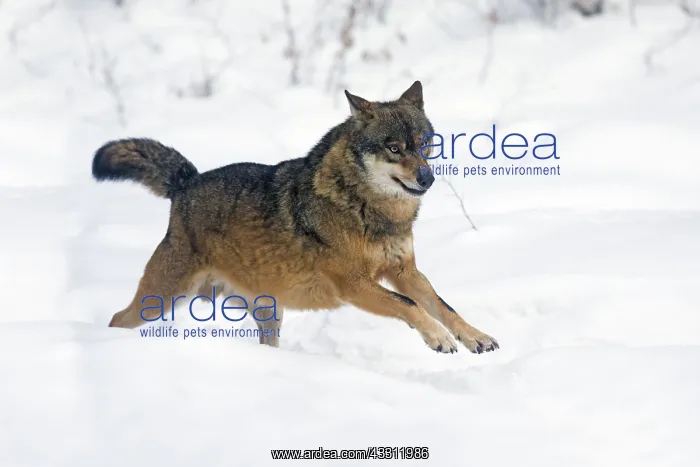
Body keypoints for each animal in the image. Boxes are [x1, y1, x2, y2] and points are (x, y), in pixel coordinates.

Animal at [92, 81, 499, 354]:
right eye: (394, 148)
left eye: (424, 144)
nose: (427, 178)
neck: (369, 208)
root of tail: (186, 182)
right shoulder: (354, 285)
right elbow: (410, 306)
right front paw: (438, 338)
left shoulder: (404, 271)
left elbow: (441, 305)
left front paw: (474, 335)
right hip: (164, 298)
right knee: (116, 318)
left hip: (264, 312)